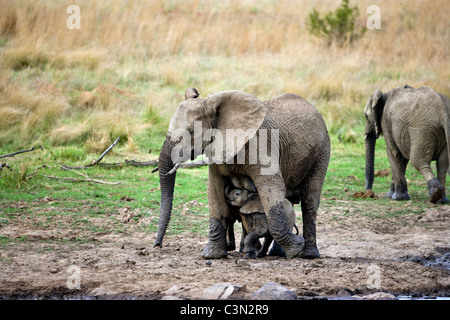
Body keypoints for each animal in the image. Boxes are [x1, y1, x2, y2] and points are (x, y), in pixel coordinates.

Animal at [155, 88, 330, 260]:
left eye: (191, 132)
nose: (157, 245)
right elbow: (214, 190)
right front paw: (212, 256)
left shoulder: (260, 145)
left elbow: (272, 186)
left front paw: (296, 247)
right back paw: (276, 253)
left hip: (322, 151)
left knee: (309, 201)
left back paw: (307, 254)